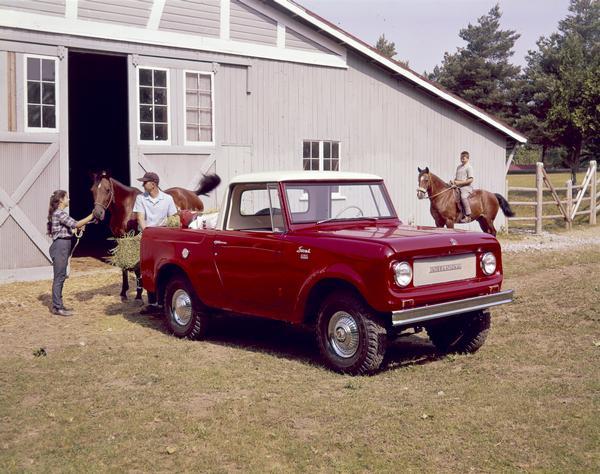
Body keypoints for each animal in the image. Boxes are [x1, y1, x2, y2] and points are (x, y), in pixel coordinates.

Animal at [89, 170, 220, 300]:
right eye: (92, 190)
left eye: (107, 189)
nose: (97, 213)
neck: (126, 208)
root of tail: (192, 193)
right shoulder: (121, 241)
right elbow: (124, 267)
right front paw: (123, 292)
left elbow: (138, 268)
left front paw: (138, 294)